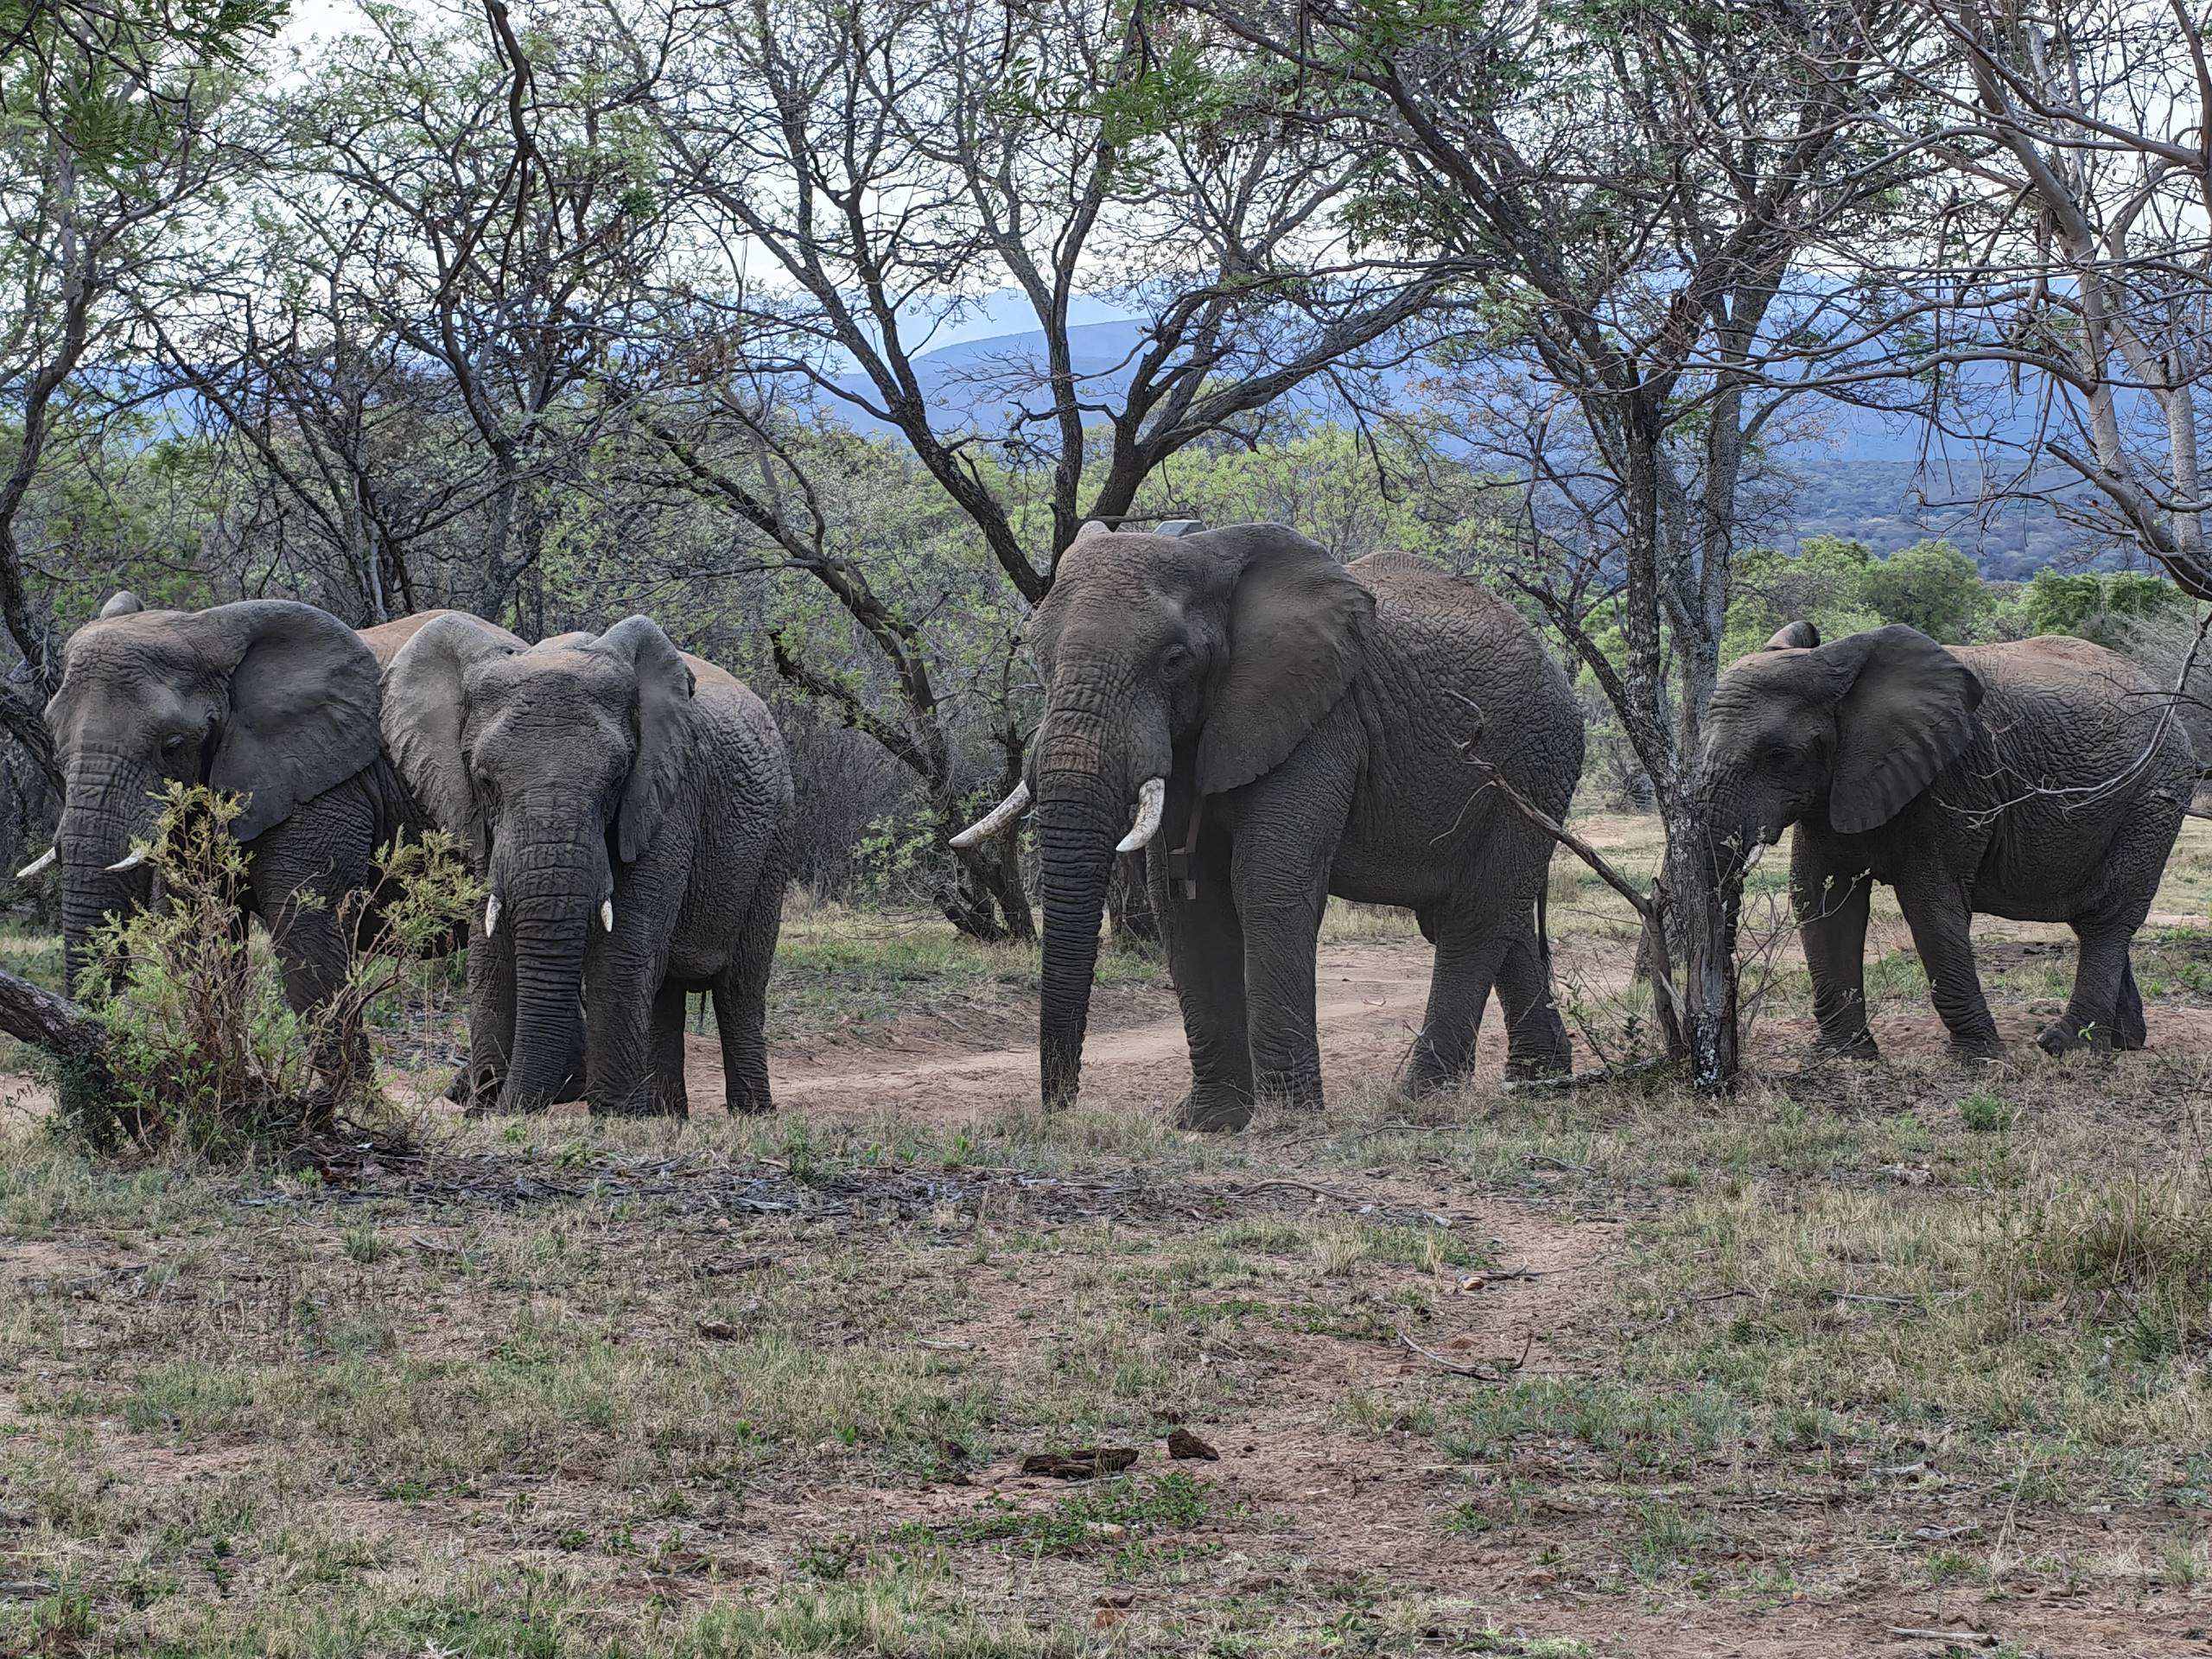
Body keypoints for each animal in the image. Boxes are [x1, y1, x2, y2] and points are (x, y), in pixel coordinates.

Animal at [30, 593, 506, 1089]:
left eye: (173, 744)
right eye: (53, 736)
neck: (204, 630)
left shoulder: (320, 783)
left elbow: (304, 927)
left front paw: (350, 1100)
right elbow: (199, 929)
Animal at [382, 613, 794, 1116]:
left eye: (616, 778)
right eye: (484, 780)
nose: (488, 1095)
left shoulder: (668, 794)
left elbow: (624, 946)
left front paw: (614, 1115)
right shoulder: (479, 823)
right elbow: (489, 947)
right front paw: (487, 1107)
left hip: (774, 837)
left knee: (740, 986)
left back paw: (749, 1113)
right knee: (667, 990)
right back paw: (667, 1117)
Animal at [954, 521, 1585, 1130]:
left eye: (1173, 660)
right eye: (1037, 658)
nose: (1060, 1111)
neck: (1208, 551)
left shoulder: (1318, 716)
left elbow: (1266, 881)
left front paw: (1286, 1120)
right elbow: (1186, 900)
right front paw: (1209, 1123)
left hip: (1532, 763)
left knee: (1473, 914)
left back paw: (1422, 1100)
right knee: (1494, 916)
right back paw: (1538, 1086)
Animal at [1694, 619, 2197, 1059]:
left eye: (1779, 755)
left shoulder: (1954, 780)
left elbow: (1931, 905)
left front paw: (1979, 1058)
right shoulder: (1833, 789)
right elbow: (1821, 897)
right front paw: (1844, 1056)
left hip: (2155, 799)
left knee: (2107, 914)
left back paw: (2067, 1046)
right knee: (2091, 911)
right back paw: (2123, 1043)